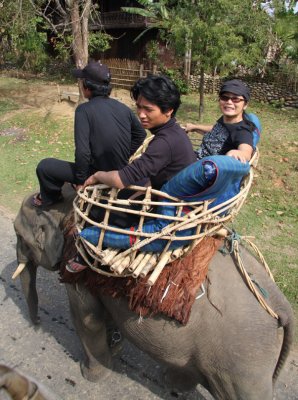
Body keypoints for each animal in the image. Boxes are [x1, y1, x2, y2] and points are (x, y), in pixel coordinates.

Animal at [13, 188, 294, 400]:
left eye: (19, 236)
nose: (35, 325)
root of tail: (280, 304)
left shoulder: (78, 267)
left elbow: (86, 320)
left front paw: (90, 374)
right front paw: (116, 348)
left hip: (243, 360)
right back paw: (171, 383)